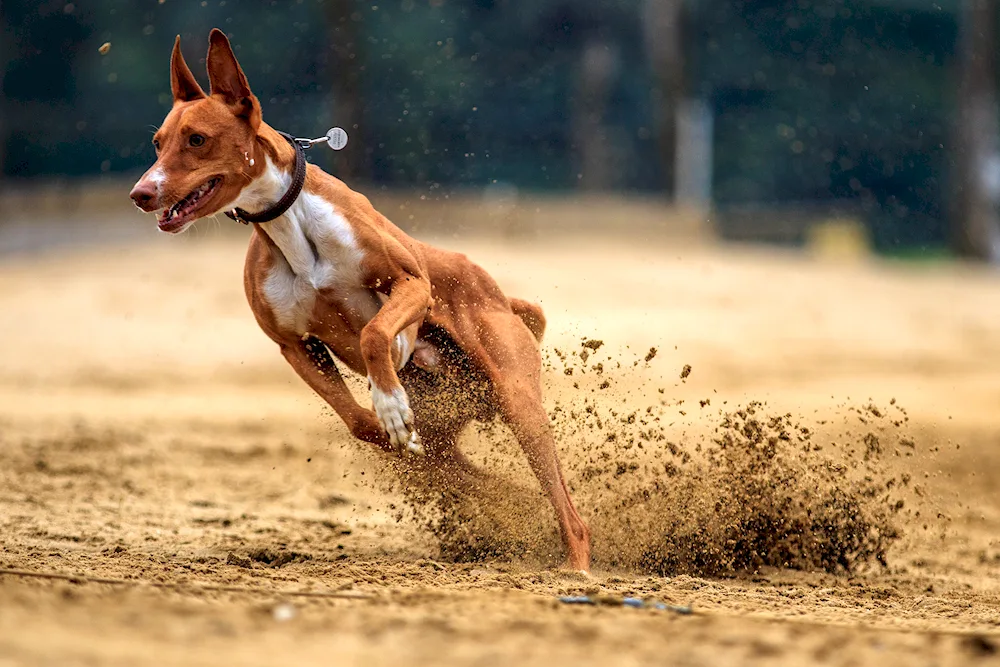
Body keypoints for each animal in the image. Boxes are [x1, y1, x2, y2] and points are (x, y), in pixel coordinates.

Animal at [129, 30, 588, 568]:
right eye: (158, 143)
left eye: (197, 139)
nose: (141, 193)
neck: (289, 222)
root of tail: (497, 295)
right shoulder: (294, 345)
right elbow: (360, 424)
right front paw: (390, 422)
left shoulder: (412, 284)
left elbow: (373, 333)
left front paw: (388, 401)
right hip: (454, 419)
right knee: (465, 469)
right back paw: (505, 495)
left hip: (517, 397)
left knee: (568, 511)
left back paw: (575, 569)